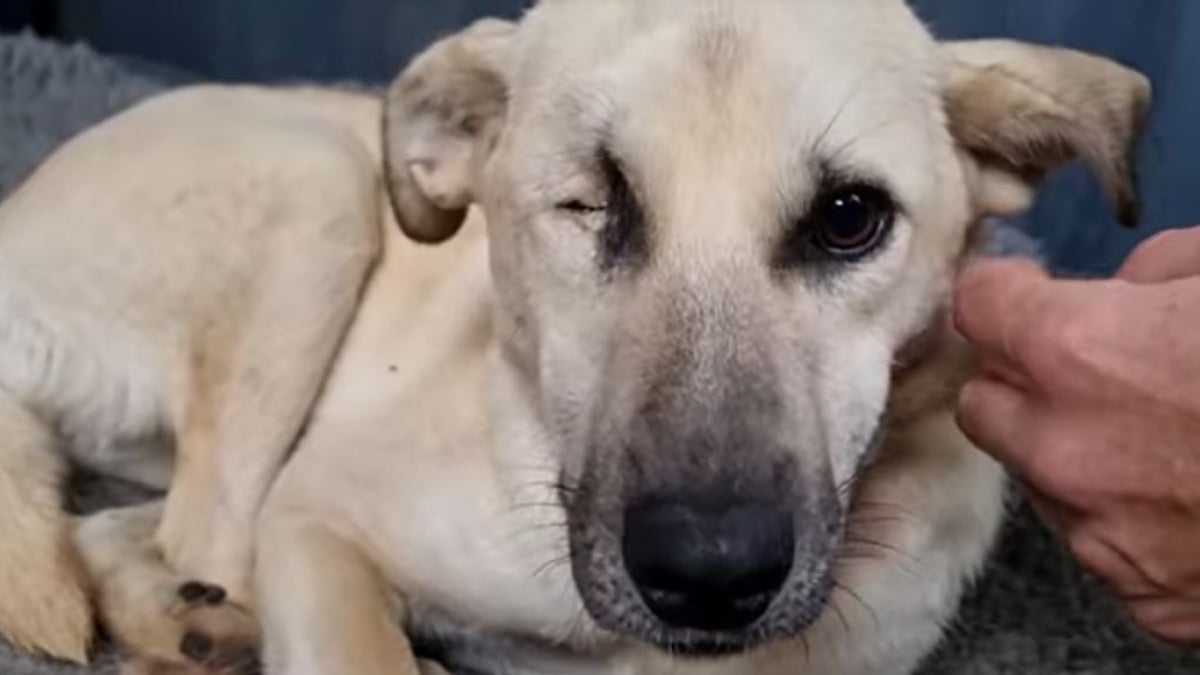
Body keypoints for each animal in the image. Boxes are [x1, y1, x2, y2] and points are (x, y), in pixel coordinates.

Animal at [0, 1, 1147, 672]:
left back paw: (181, 620)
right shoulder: (317, 517)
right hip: (318, 186)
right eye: (591, 203)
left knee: (120, 530)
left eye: (849, 217)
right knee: (201, 534)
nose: (710, 574)